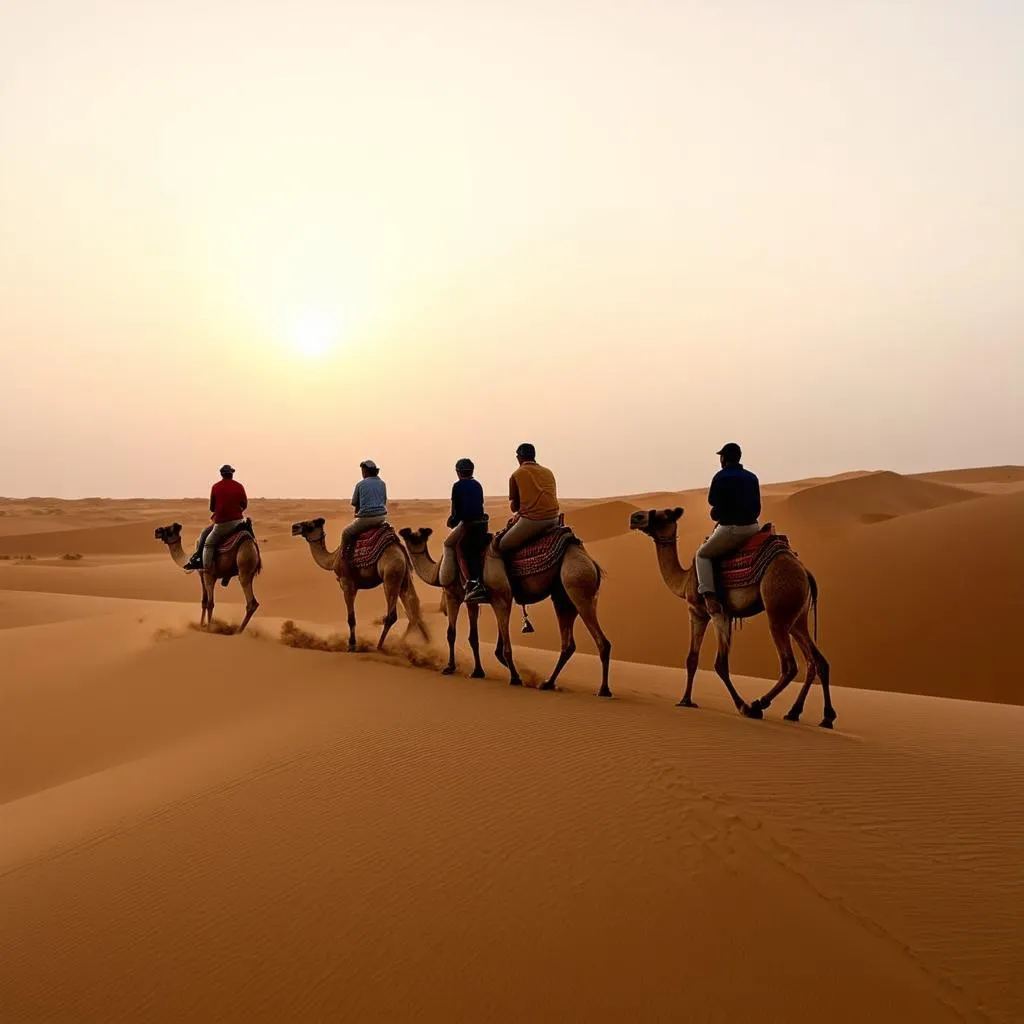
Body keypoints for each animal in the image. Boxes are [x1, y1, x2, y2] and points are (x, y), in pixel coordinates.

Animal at [292, 516, 428, 651]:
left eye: (310, 526)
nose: (294, 527)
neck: (333, 559)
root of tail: (400, 550)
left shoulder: (347, 584)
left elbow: (351, 618)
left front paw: (352, 645)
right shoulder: (354, 586)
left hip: (391, 576)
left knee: (392, 615)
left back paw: (379, 646)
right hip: (404, 578)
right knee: (413, 606)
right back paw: (423, 642)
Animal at [397, 528, 606, 696]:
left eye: (414, 537)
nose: (408, 542)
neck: (438, 570)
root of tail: (589, 560)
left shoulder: (457, 594)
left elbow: (453, 634)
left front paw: (450, 667)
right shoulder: (475, 600)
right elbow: (476, 639)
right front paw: (479, 671)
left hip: (577, 588)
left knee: (601, 641)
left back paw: (603, 689)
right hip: (563, 597)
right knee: (568, 644)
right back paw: (547, 683)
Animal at [626, 507, 835, 724]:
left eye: (665, 513)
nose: (636, 517)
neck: (684, 580)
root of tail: (804, 570)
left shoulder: (714, 612)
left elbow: (720, 664)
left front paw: (742, 706)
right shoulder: (701, 614)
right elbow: (692, 658)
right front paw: (685, 700)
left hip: (778, 611)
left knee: (790, 665)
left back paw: (758, 704)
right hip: (797, 618)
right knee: (816, 661)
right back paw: (813, 715)